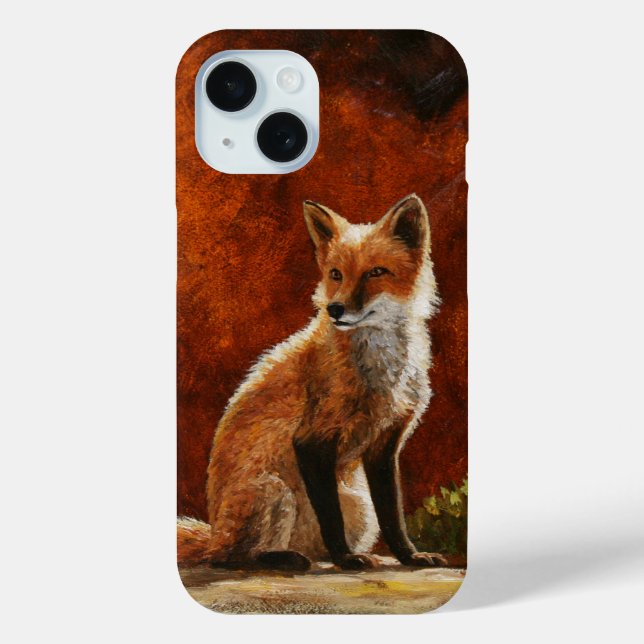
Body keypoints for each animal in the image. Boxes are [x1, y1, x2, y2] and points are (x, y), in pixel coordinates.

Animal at [177, 194, 445, 571]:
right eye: (336, 274)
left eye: (375, 272)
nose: (335, 309)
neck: (378, 369)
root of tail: (213, 532)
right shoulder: (311, 441)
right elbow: (330, 517)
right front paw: (346, 559)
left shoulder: (385, 445)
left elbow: (393, 514)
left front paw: (409, 555)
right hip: (273, 490)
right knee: (229, 558)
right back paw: (285, 558)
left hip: (360, 508)